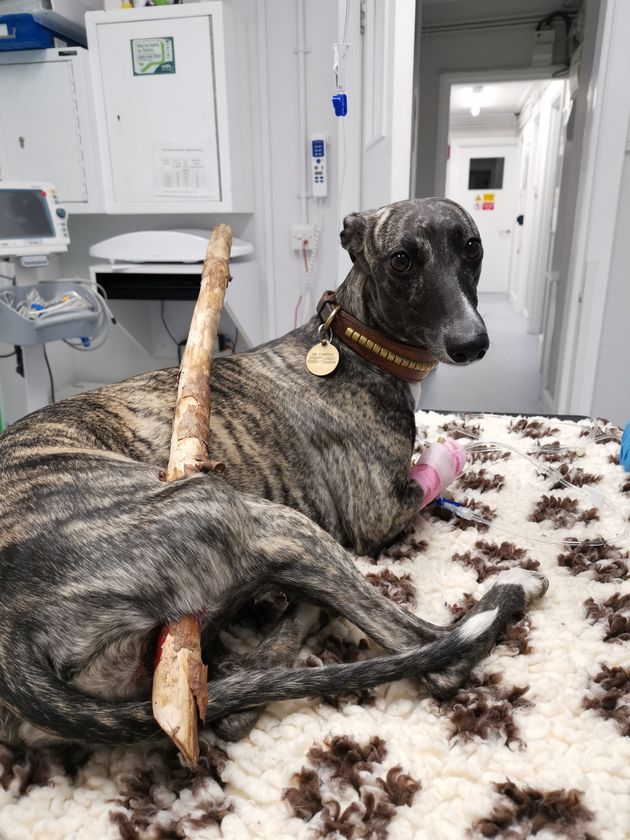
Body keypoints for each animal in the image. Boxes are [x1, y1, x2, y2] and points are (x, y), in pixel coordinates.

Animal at [0, 199, 548, 748]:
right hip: (273, 522)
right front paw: (455, 455)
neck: (357, 343)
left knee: (239, 684)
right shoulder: (379, 511)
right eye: (401, 260)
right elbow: (434, 478)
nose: (471, 343)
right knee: (433, 653)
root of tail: (12, 648)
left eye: (472, 247)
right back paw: (515, 583)